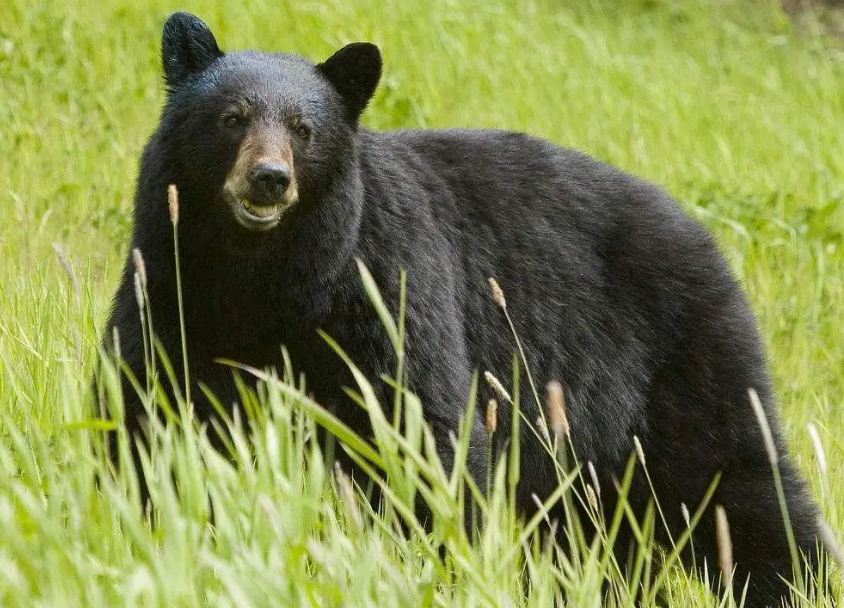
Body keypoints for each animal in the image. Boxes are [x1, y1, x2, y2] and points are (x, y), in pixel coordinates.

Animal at [99, 10, 824, 608]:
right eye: (232, 117)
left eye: (305, 130)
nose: (269, 179)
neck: (262, 278)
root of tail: (701, 231)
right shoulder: (169, 291)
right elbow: (146, 412)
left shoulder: (385, 290)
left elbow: (423, 426)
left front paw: (431, 564)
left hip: (678, 358)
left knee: (739, 480)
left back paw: (797, 583)